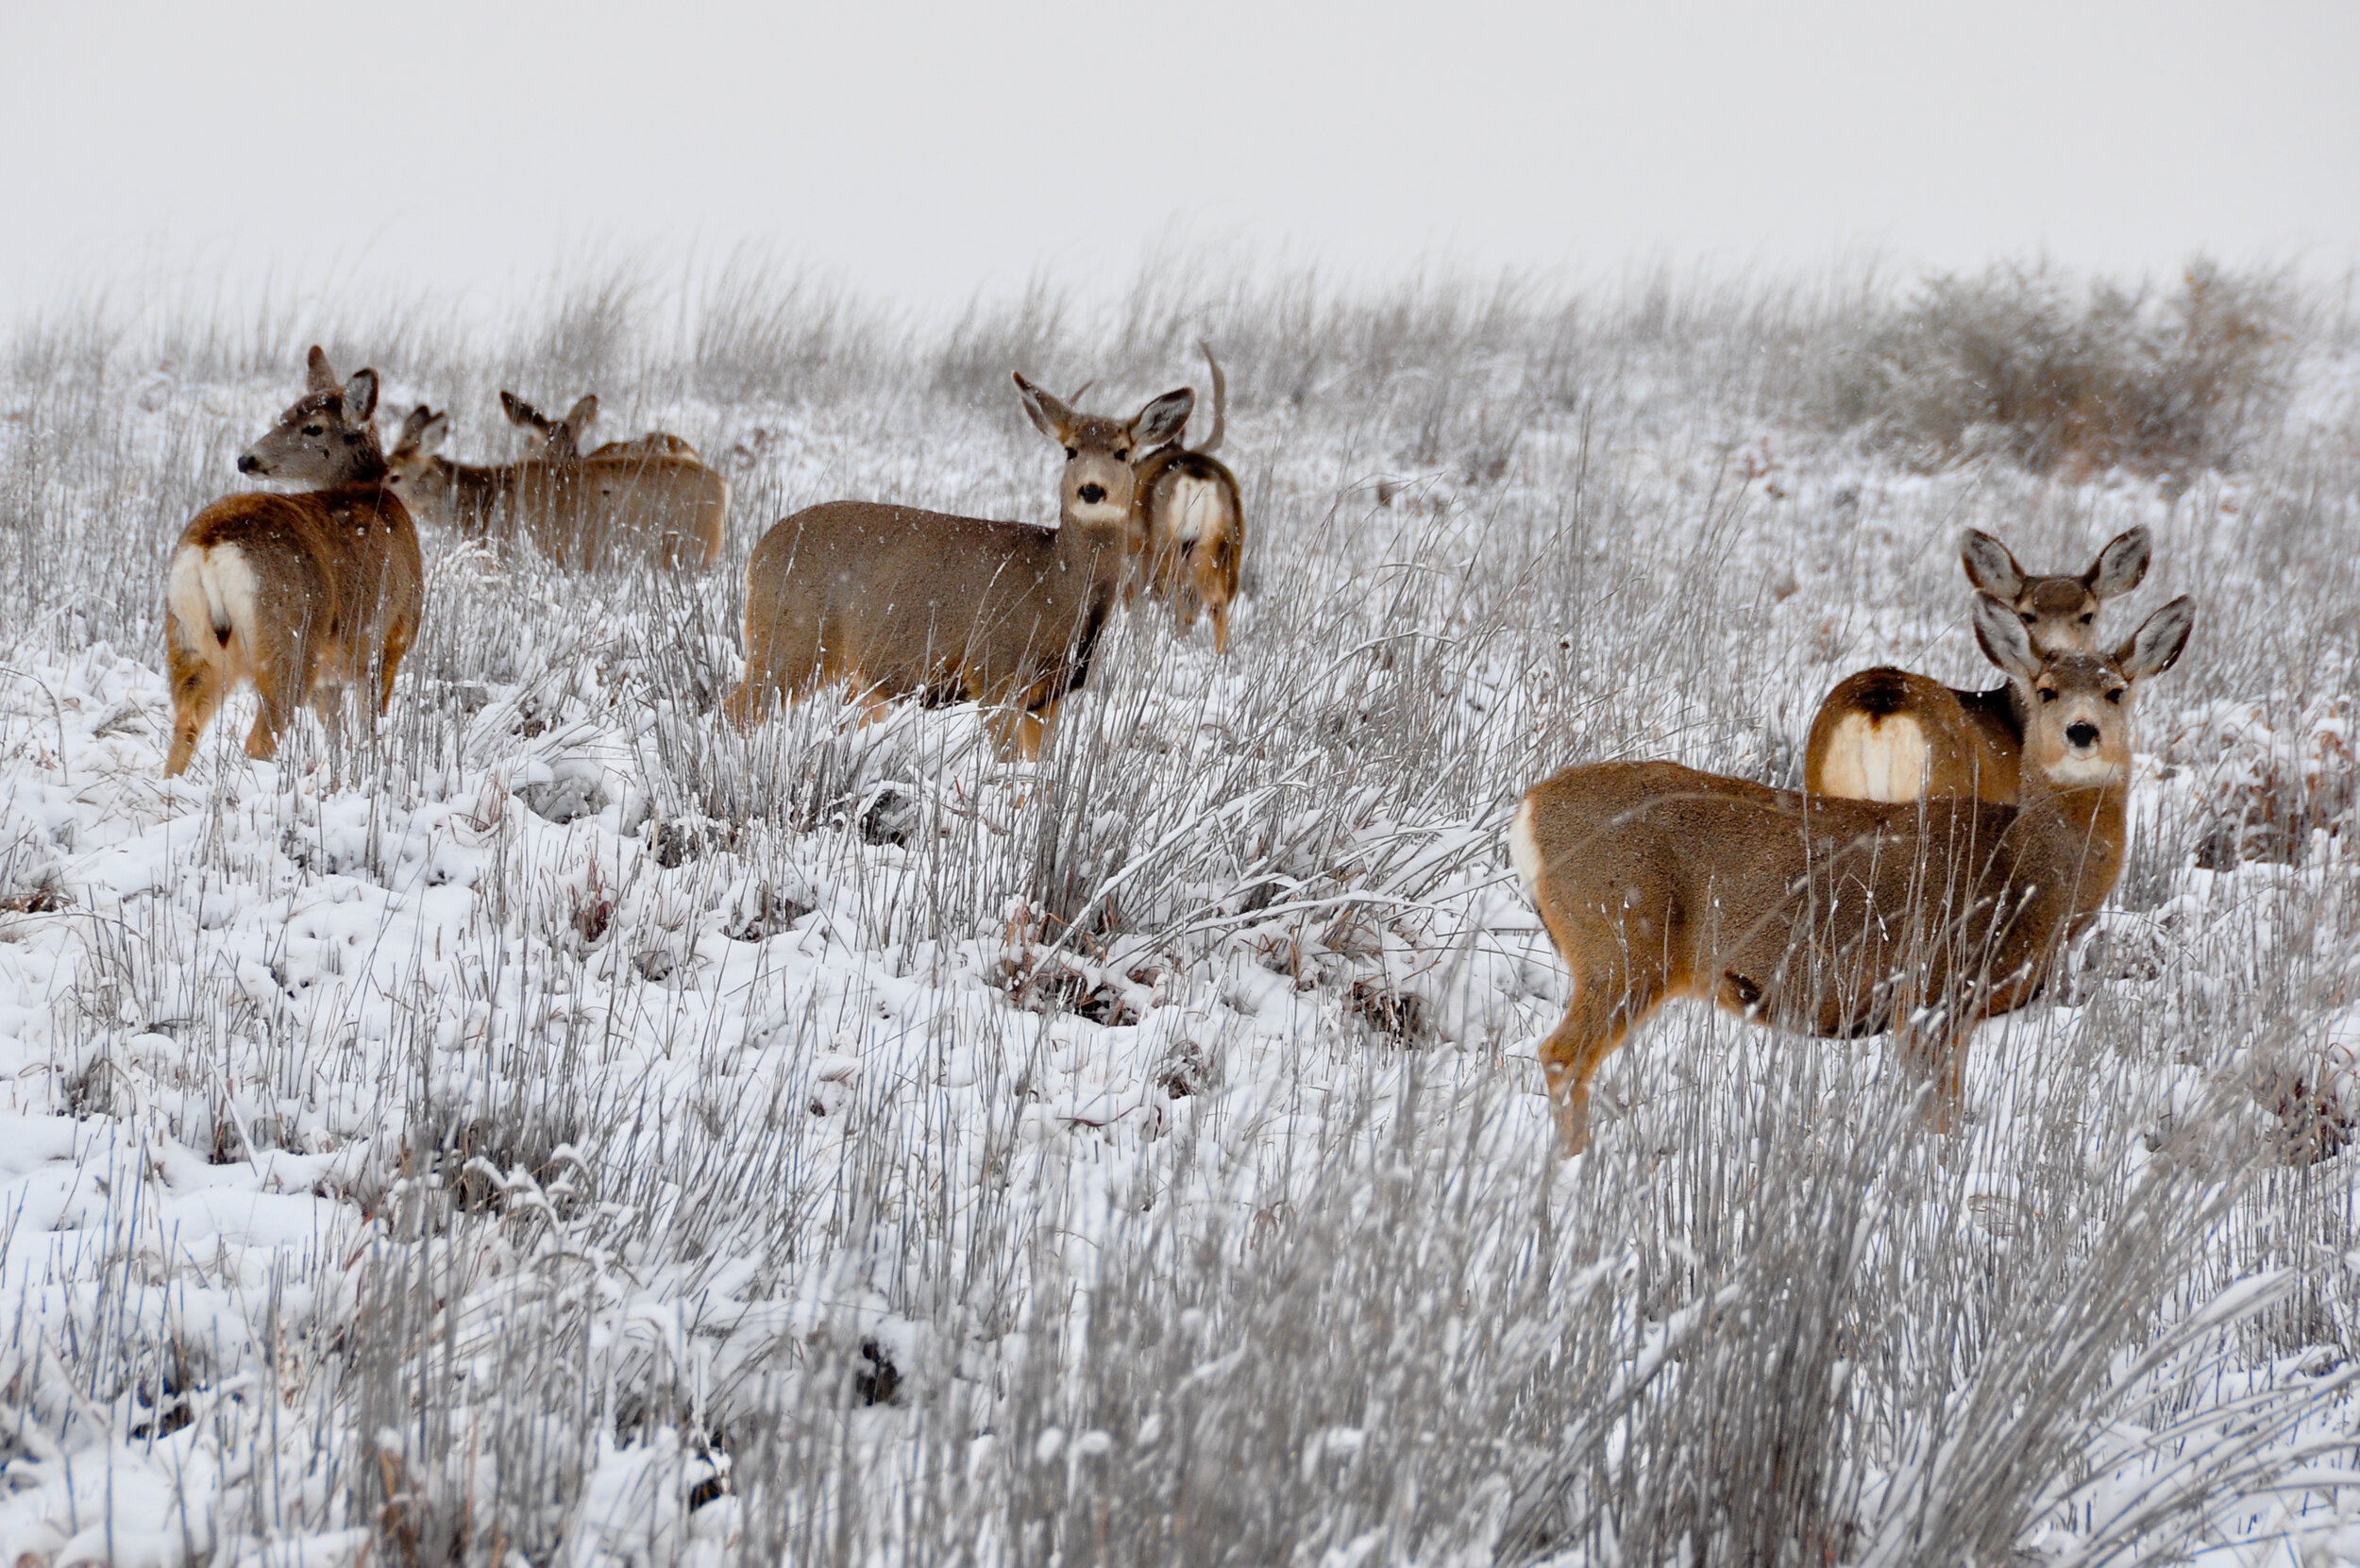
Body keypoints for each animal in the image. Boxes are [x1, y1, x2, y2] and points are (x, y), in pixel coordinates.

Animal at [166, 347, 425, 776]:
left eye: (313, 427)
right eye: (285, 416)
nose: (246, 458)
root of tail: (211, 546)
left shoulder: (332, 672)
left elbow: (336, 732)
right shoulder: (393, 634)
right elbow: (369, 723)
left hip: (188, 640)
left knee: (183, 729)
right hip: (290, 637)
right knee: (261, 737)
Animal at [725, 374, 1194, 757]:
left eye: (1122, 453)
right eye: (1070, 450)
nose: (1092, 490)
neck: (1055, 587)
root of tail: (756, 554)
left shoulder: (1051, 696)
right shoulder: (995, 672)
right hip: (791, 641)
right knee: (735, 709)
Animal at [1512, 590, 2194, 1157]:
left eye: (2117, 690)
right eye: (2047, 688)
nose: (2083, 732)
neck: (2022, 875)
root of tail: (1528, 815)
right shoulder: (1928, 992)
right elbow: (1939, 1121)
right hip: (1621, 942)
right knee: (1560, 1055)